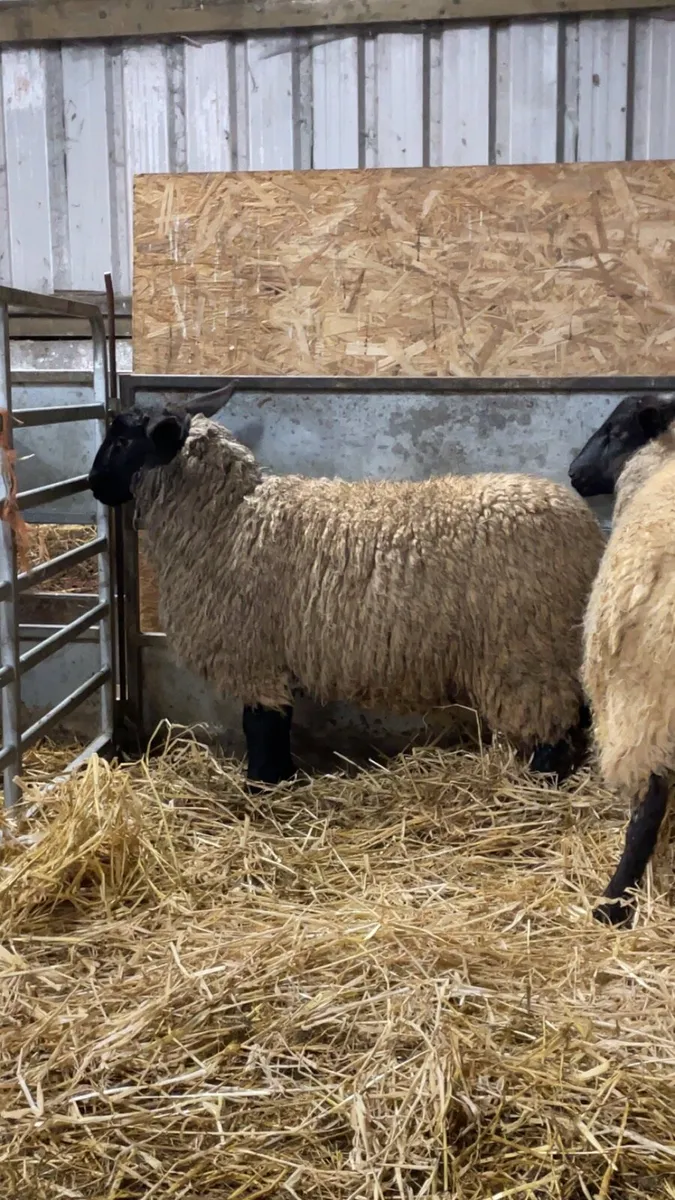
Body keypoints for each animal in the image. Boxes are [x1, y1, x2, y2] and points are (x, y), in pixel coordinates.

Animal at [89, 400, 605, 788]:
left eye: (122, 440)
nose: (93, 485)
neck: (227, 517)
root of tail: (588, 529)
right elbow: (277, 722)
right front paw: (280, 778)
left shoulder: (253, 653)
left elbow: (261, 726)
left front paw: (263, 783)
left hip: (527, 648)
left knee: (551, 723)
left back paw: (540, 783)